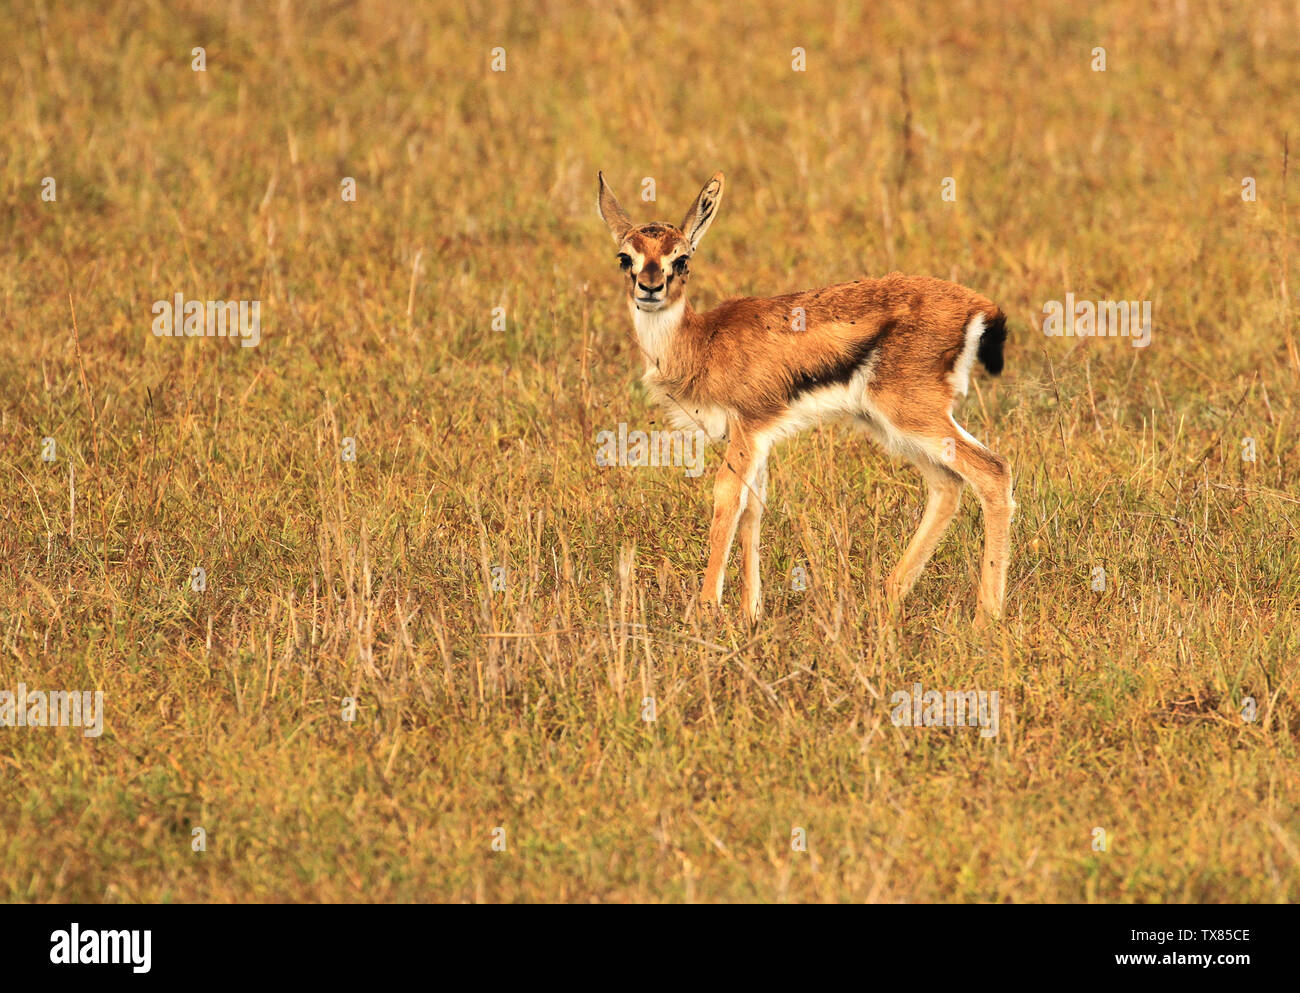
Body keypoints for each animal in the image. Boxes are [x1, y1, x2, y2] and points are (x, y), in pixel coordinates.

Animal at [597, 170, 1015, 628]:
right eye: (625, 257)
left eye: (682, 258)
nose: (650, 288)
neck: (700, 342)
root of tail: (979, 306)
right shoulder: (758, 437)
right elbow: (753, 508)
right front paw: (751, 613)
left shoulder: (746, 430)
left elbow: (727, 498)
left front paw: (707, 612)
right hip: (891, 425)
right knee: (947, 483)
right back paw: (887, 596)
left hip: (911, 415)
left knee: (992, 470)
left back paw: (986, 618)